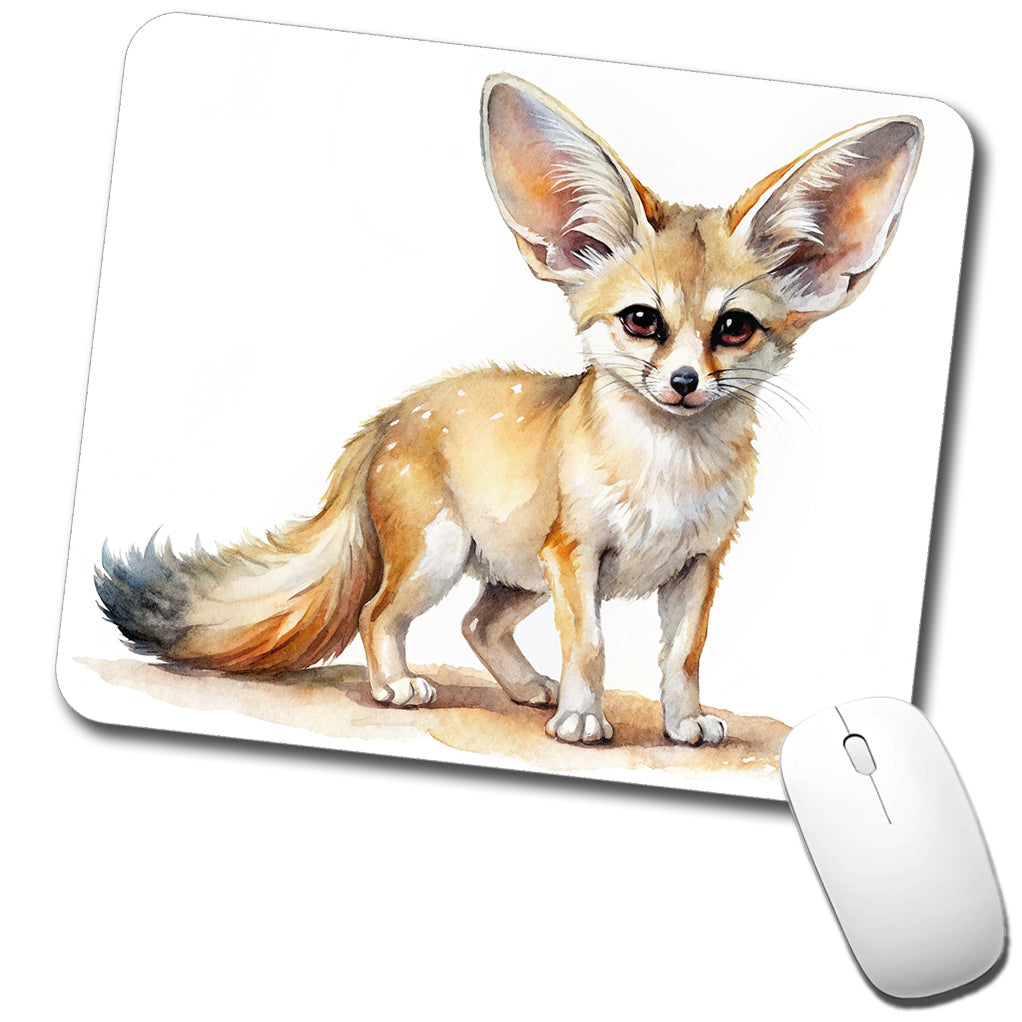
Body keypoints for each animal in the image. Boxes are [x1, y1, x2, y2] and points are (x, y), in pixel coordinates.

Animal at [97, 73, 922, 746]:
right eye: (642, 321)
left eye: (735, 327)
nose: (685, 381)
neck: (667, 473)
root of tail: (391, 414)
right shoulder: (576, 554)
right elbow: (590, 646)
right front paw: (585, 721)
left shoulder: (698, 564)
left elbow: (683, 656)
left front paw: (683, 724)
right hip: (445, 558)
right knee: (378, 614)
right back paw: (401, 686)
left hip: (514, 575)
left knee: (475, 623)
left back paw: (528, 690)